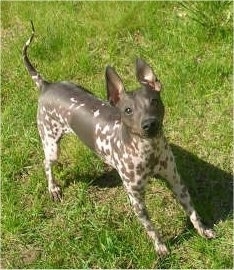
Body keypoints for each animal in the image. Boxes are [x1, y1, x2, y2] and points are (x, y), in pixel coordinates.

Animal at [22, 22, 215, 256]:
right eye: (128, 110)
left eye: (154, 101)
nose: (149, 124)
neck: (149, 151)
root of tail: (46, 85)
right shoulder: (136, 199)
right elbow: (151, 227)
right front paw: (160, 247)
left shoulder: (176, 181)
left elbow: (192, 212)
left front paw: (203, 230)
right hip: (51, 144)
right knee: (46, 164)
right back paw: (53, 189)